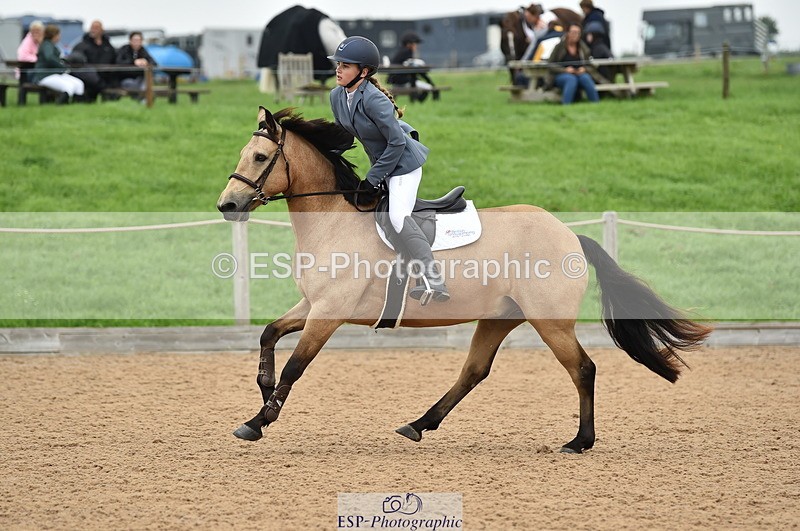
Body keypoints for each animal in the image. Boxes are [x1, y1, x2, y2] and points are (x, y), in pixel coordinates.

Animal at [216, 107, 712, 453]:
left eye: (260, 157)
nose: (227, 205)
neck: (334, 219)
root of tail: (569, 233)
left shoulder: (328, 313)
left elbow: (296, 367)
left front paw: (259, 421)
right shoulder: (312, 306)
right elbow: (268, 333)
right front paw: (263, 387)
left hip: (549, 322)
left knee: (582, 369)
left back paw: (580, 441)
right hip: (499, 318)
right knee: (474, 371)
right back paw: (418, 425)